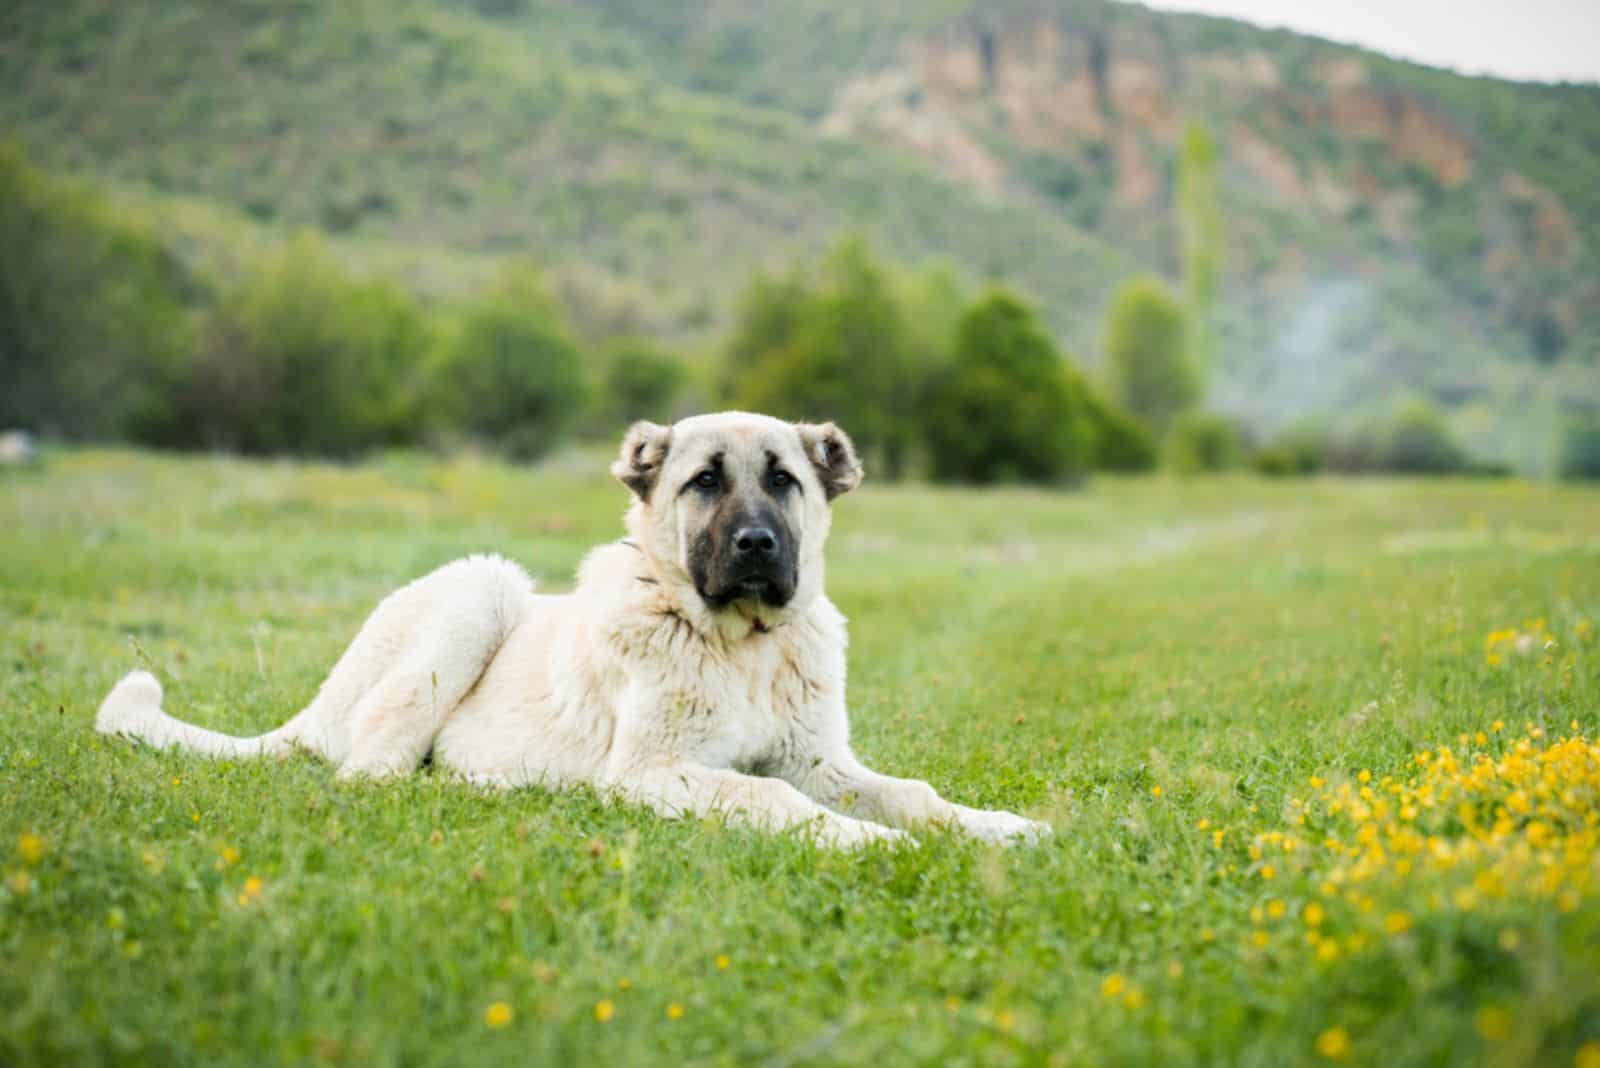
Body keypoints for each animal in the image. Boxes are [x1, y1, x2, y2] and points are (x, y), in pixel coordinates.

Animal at [96, 412, 1049, 844]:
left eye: (784, 481)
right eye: (706, 482)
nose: (756, 545)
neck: (742, 643)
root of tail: (312, 712)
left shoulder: (819, 761)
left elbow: (914, 794)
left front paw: (999, 827)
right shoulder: (654, 770)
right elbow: (778, 801)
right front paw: (868, 843)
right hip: (482, 589)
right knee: (375, 770)